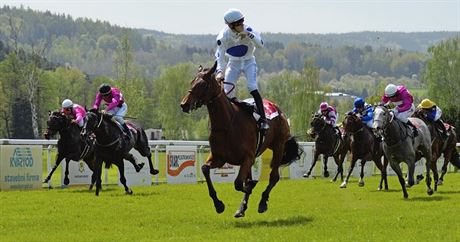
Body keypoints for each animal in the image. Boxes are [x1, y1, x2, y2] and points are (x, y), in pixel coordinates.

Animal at [180, 61, 302, 217]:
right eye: (192, 82)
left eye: (202, 84)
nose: (184, 104)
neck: (227, 124)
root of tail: (278, 109)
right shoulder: (220, 157)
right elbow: (205, 169)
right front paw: (218, 204)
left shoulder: (247, 158)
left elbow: (239, 183)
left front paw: (250, 188)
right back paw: (241, 208)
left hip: (278, 146)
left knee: (274, 176)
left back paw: (262, 202)